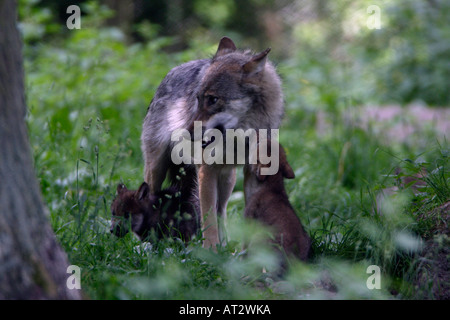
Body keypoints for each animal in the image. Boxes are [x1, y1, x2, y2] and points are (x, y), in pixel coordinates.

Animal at [141, 37, 284, 248]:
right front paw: (210, 251)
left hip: (227, 179)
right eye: (198, 99)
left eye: (213, 100)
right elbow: (208, 219)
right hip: (156, 170)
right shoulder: (205, 170)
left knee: (221, 210)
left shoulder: (250, 171)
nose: (185, 133)